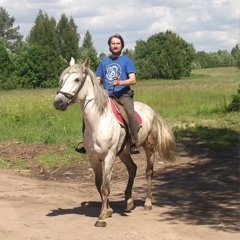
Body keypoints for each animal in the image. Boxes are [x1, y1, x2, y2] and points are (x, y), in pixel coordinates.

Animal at [53, 57, 175, 227]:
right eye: (63, 79)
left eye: (77, 79)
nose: (58, 102)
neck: (98, 121)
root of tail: (152, 111)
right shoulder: (93, 158)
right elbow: (99, 184)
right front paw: (108, 210)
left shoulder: (109, 156)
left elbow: (105, 186)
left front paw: (101, 218)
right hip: (124, 153)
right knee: (133, 169)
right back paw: (129, 201)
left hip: (149, 147)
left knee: (149, 172)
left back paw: (148, 203)